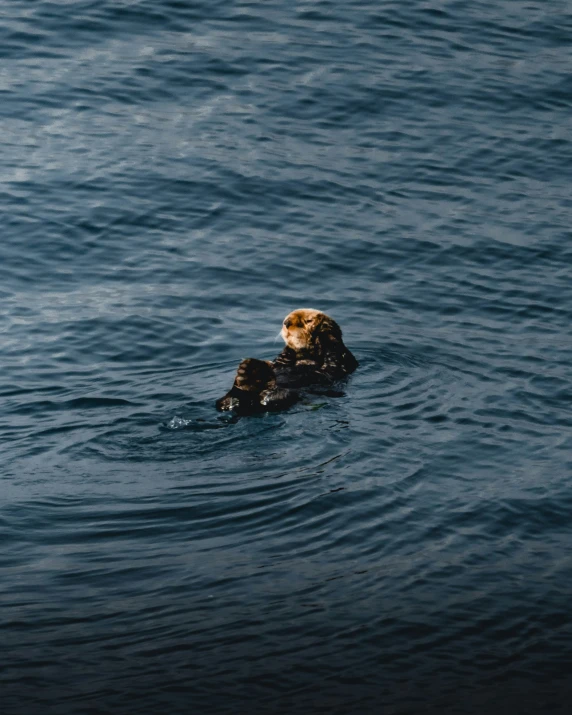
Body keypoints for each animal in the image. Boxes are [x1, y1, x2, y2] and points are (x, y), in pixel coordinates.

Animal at [216, 308, 358, 414]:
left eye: (308, 320)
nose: (287, 322)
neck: (307, 356)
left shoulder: (342, 360)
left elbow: (333, 354)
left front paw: (324, 332)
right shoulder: (282, 360)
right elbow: (280, 360)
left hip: (285, 396)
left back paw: (253, 375)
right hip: (227, 400)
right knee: (224, 402)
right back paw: (250, 372)